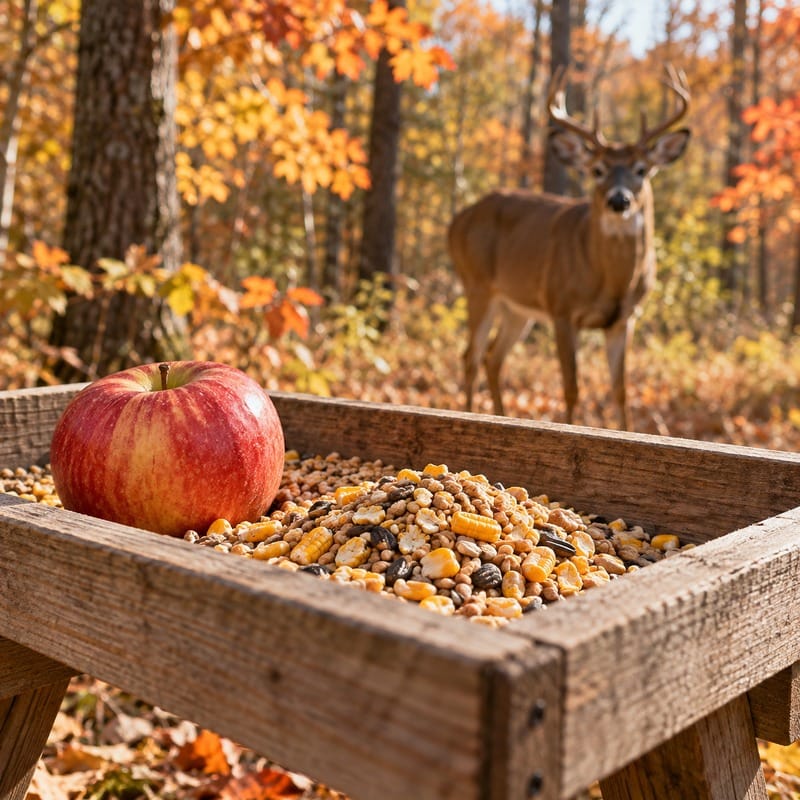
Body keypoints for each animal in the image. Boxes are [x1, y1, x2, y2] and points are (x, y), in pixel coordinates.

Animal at [448, 66, 690, 430]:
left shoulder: (625, 318)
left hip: (517, 307)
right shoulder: (561, 308)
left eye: (641, 169)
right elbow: (571, 387)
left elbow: (621, 391)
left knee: (493, 358)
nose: (619, 200)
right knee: (471, 356)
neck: (610, 281)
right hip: (477, 284)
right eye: (597, 170)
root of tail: (456, 221)